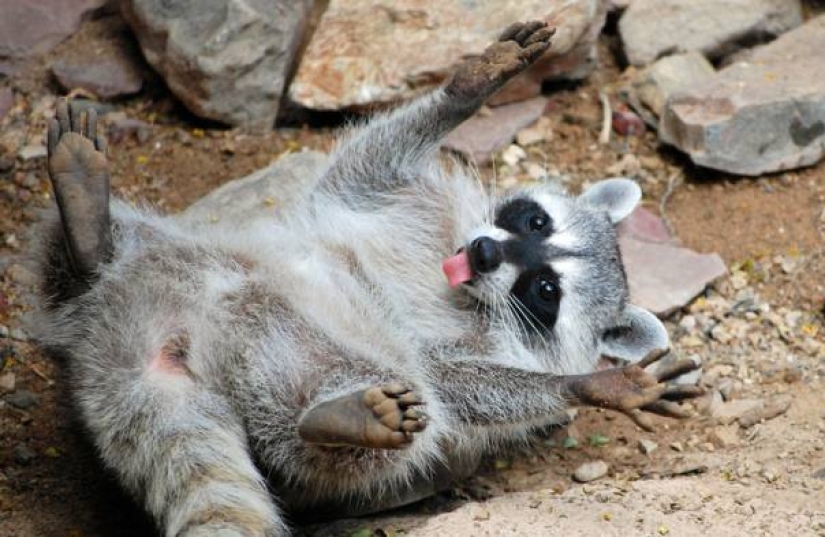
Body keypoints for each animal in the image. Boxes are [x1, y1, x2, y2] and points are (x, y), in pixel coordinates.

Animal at [35, 22, 700, 536]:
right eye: (535, 221)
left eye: (545, 291)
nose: (485, 251)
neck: (463, 286)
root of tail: (156, 350)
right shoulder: (403, 200)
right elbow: (368, 165)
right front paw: (470, 85)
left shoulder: (482, 343)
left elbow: (451, 379)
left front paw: (588, 385)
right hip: (168, 253)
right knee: (79, 261)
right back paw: (87, 225)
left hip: (295, 368)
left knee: (362, 418)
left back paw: (338, 418)